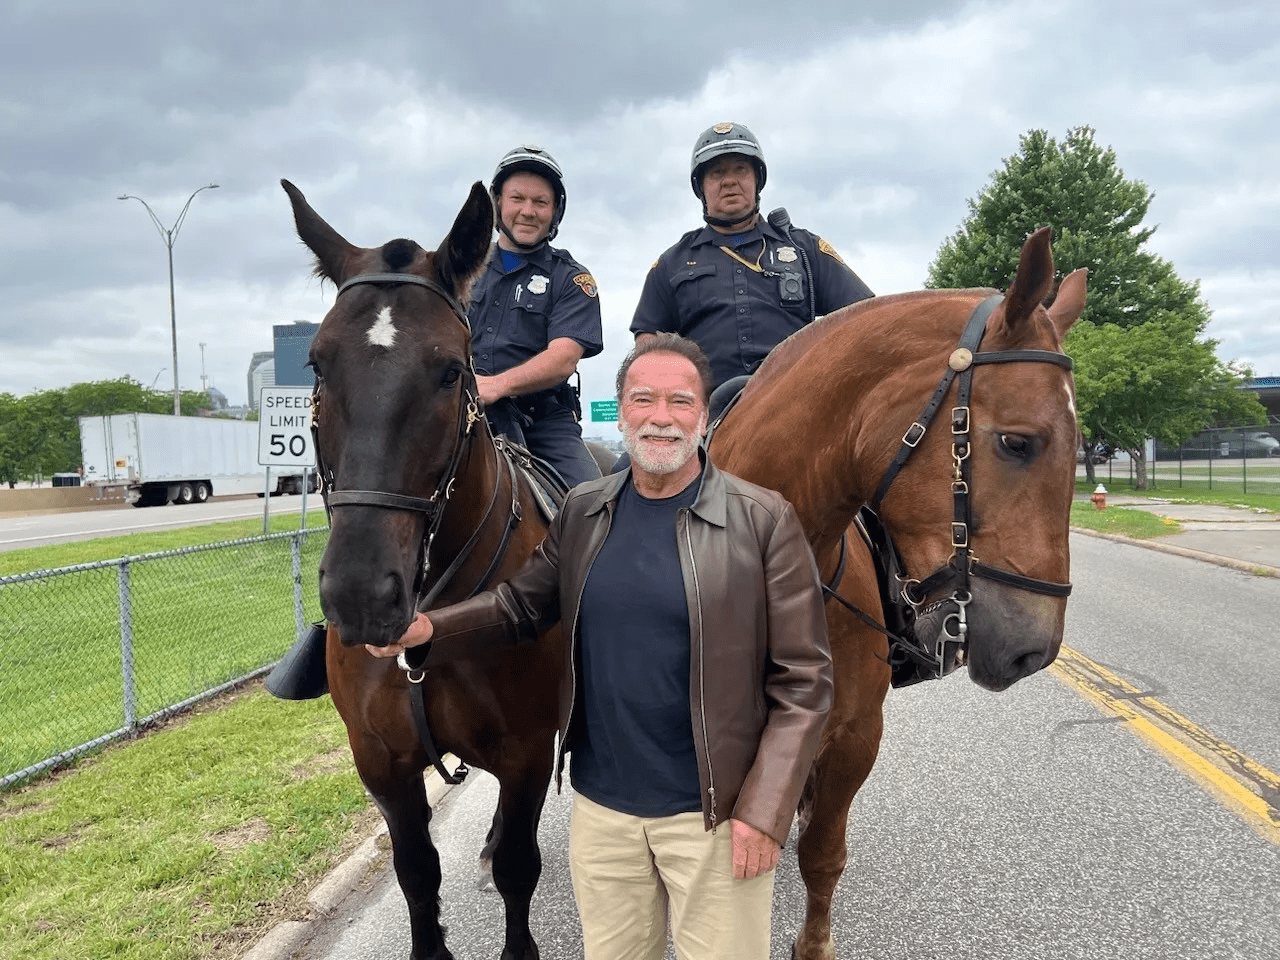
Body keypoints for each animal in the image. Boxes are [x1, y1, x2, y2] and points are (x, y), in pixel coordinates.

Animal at [282, 181, 563, 960]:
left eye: (450, 370)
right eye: (317, 365)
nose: (360, 594)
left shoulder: (529, 755)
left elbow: (520, 868)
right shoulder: (382, 765)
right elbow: (416, 874)